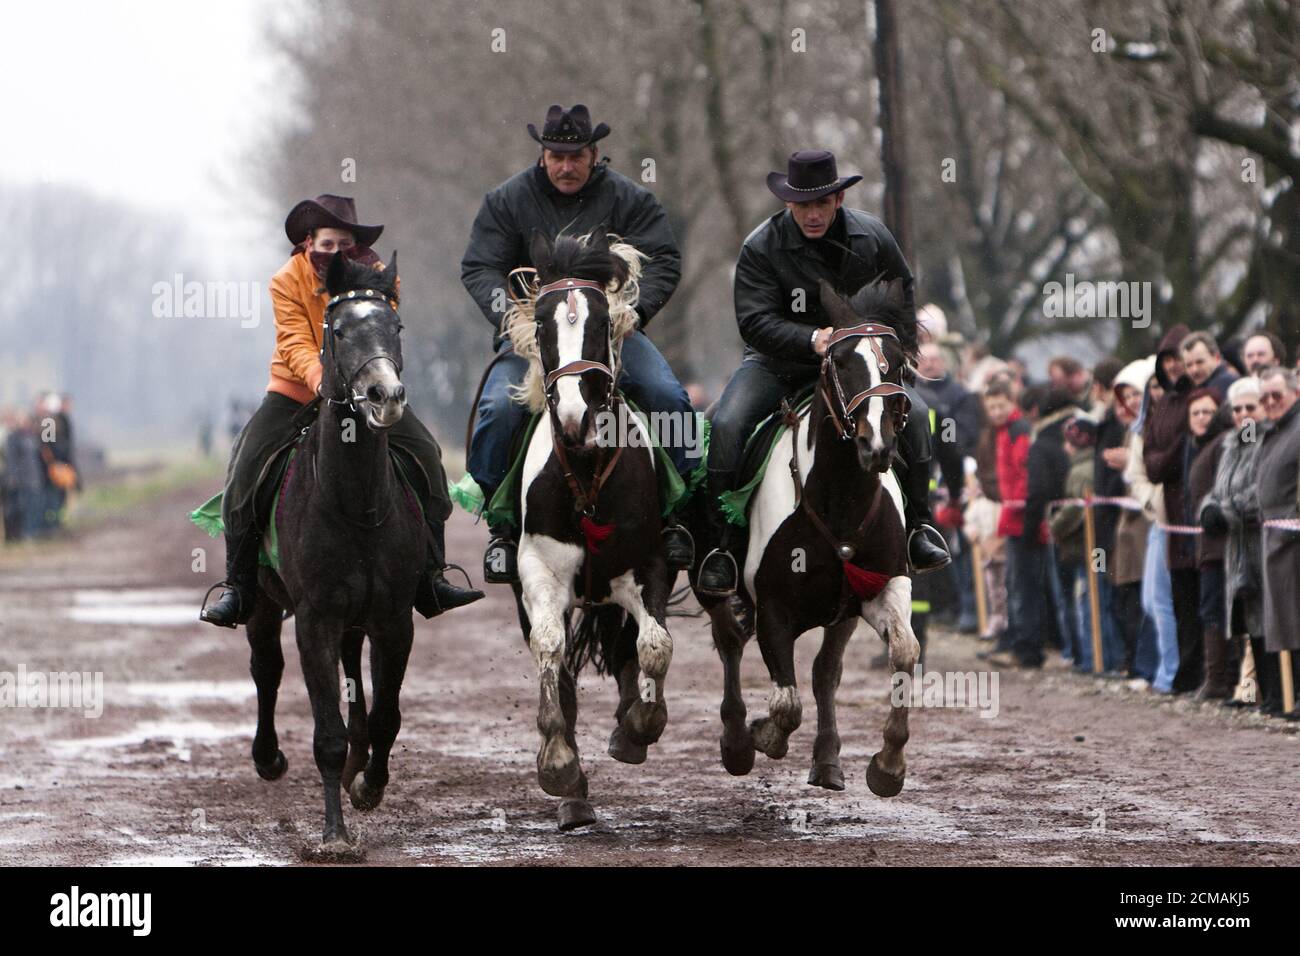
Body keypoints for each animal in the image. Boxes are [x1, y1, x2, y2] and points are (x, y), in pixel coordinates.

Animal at [243, 251, 421, 858]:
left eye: (396, 325)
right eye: (338, 331)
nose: (385, 397)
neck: (353, 503)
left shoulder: (393, 619)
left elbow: (387, 713)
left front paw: (367, 785)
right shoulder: (314, 620)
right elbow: (326, 735)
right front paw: (335, 836)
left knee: (354, 676)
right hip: (262, 604)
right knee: (266, 669)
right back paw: (268, 757)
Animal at [504, 231, 676, 832]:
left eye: (602, 321)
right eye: (542, 325)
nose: (576, 417)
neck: (585, 470)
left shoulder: (650, 565)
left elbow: (654, 646)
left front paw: (638, 726)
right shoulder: (537, 573)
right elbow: (550, 649)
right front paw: (559, 765)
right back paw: (575, 796)